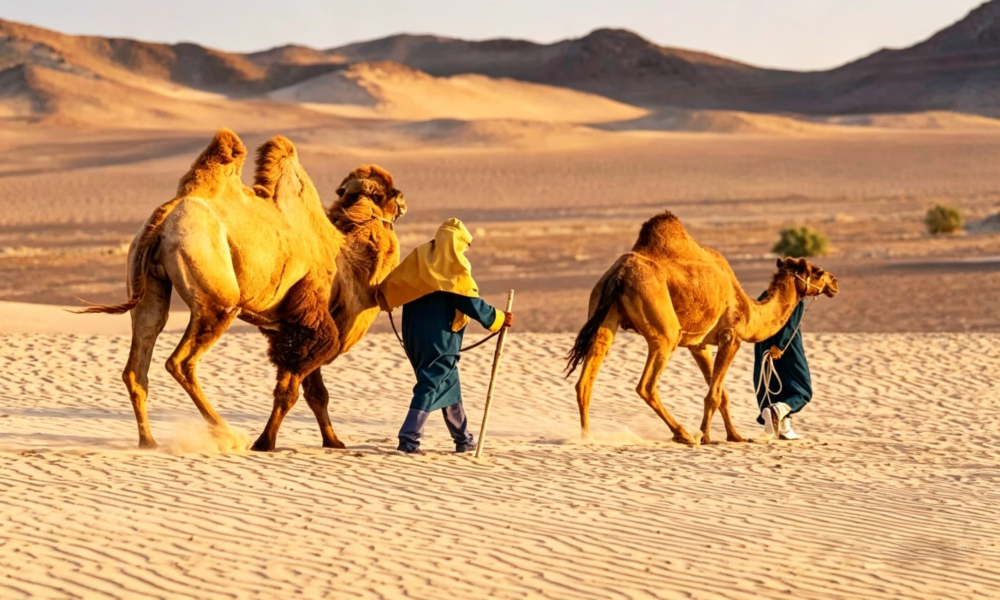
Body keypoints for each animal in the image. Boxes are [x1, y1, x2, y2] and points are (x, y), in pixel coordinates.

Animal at [80, 129, 406, 450]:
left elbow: (316, 392)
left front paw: (333, 442)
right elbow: (291, 389)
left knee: (141, 353)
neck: (346, 256)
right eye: (385, 193)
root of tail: (164, 216)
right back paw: (228, 434)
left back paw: (148, 441)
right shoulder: (310, 319)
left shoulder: (288, 325)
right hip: (219, 300)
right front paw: (265, 442)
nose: (403, 199)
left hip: (149, 287)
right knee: (181, 362)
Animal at [566, 211, 838, 445]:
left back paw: (588, 436)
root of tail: (619, 275)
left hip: (603, 313)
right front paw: (706, 436)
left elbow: (721, 393)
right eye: (817, 271)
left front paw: (735, 436)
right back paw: (684, 434)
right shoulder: (731, 337)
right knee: (647, 385)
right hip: (664, 330)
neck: (749, 309)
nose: (835, 282)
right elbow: (715, 393)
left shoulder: (699, 345)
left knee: (585, 381)